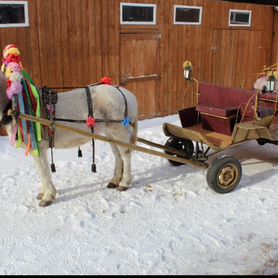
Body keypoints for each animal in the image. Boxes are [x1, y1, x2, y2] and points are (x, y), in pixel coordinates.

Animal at [0, 71, 138, 206]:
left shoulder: (39, 146)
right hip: (110, 134)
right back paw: (114, 180)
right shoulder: (35, 150)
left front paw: (48, 196)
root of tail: (125, 93)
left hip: (118, 130)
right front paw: (43, 193)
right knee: (117, 155)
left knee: (125, 154)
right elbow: (40, 169)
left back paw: (124, 182)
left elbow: (43, 170)